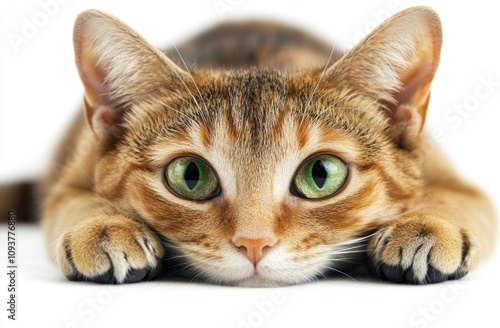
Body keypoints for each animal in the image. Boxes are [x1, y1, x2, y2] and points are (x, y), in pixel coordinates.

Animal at [28, 6, 500, 286]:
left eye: (321, 175)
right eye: (190, 176)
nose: (253, 244)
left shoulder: (445, 170)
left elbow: (460, 198)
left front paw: (427, 225)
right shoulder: (75, 172)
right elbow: (72, 201)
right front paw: (103, 227)